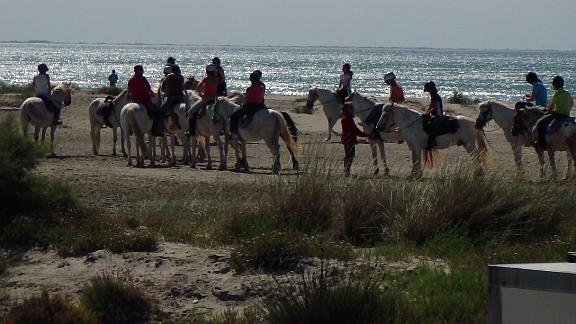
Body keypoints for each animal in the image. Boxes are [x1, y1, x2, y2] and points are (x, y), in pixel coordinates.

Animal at [348, 92, 488, 176]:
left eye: (386, 113)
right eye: (381, 112)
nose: (379, 127)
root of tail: (474, 123)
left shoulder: (375, 140)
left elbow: (377, 155)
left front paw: (377, 171)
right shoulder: (411, 145)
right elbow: (414, 160)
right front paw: (414, 174)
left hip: (469, 145)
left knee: (477, 157)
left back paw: (478, 173)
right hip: (466, 144)